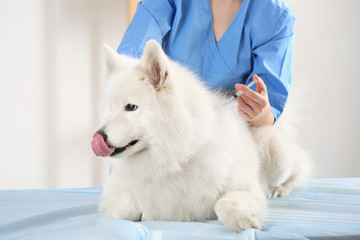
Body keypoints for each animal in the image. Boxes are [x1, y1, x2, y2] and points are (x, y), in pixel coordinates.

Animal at [91, 40, 310, 232]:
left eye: (131, 107)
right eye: (110, 108)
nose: (97, 136)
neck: (174, 157)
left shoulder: (245, 187)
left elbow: (224, 203)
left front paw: (245, 219)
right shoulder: (115, 191)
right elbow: (123, 208)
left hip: (279, 162)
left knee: (301, 165)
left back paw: (279, 189)